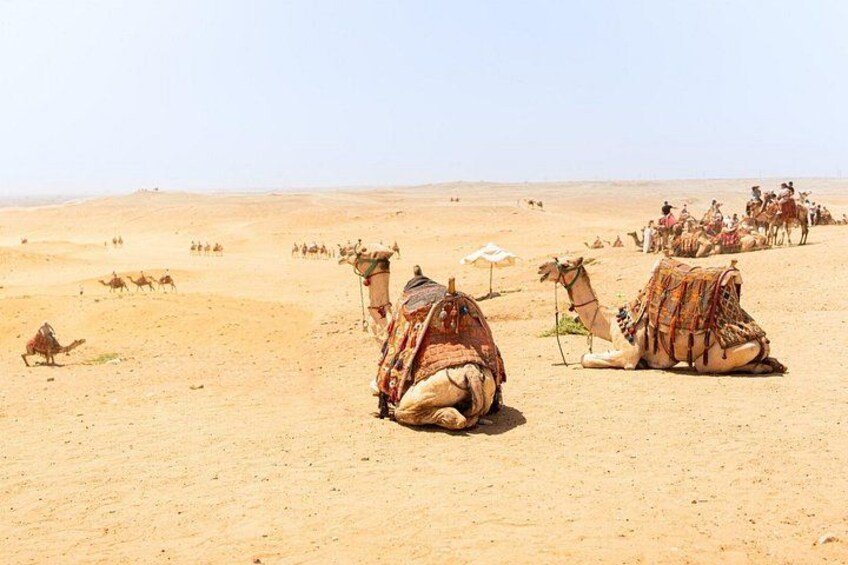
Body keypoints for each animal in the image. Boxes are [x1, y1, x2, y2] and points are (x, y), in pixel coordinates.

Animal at [339, 244, 503, 430]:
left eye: (361, 250)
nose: (342, 254)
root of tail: (471, 372)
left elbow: (375, 388)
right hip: (487, 388)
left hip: (419, 397)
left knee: (441, 416)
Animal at [537, 257, 785, 374]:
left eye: (565, 264)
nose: (541, 268)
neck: (610, 321)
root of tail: (761, 339)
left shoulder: (629, 354)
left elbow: (585, 358)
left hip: (721, 355)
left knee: (706, 366)